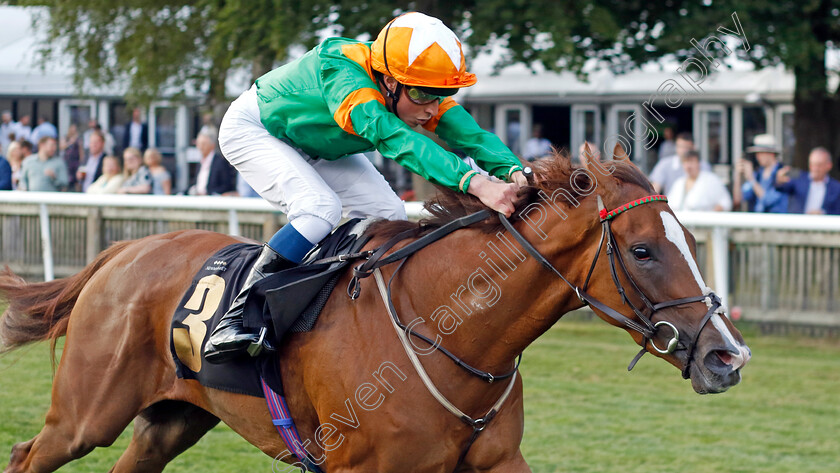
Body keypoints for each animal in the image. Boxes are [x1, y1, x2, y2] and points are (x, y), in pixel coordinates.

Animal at [0, 153, 748, 470]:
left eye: (686, 239)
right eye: (644, 249)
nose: (728, 356)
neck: (449, 332)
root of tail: (121, 252)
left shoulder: (495, 462)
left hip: (173, 418)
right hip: (87, 414)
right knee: (29, 452)